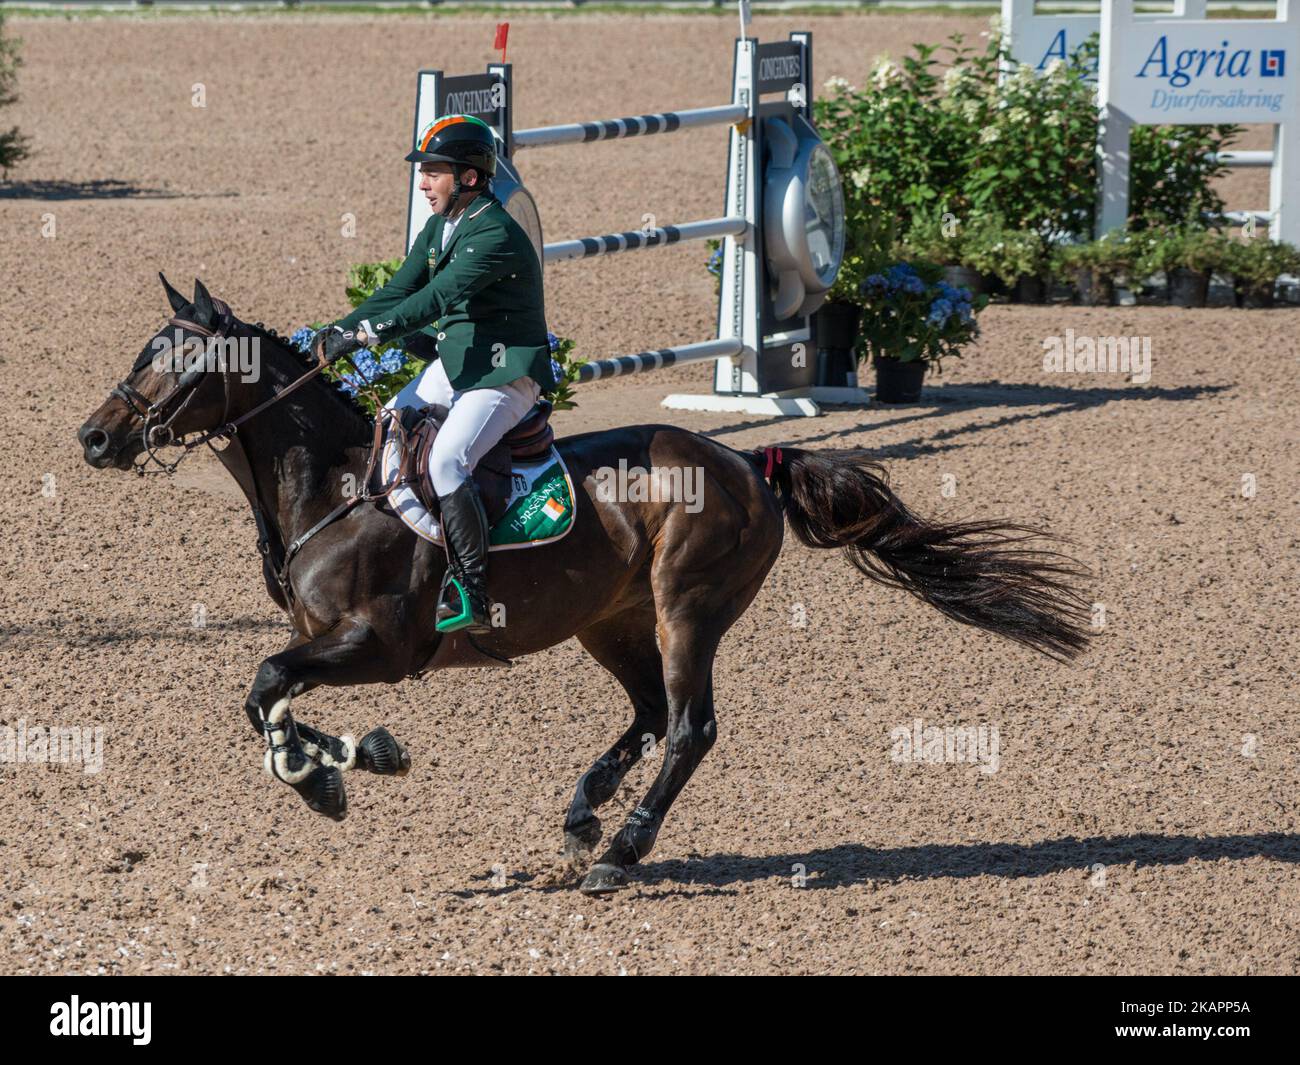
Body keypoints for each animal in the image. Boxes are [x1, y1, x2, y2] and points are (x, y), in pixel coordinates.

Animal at [78, 279, 1097, 894]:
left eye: (176, 360)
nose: (94, 437)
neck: (331, 488)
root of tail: (746, 461)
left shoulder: (380, 645)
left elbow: (263, 683)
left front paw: (336, 771)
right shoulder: (334, 645)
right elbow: (268, 696)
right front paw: (346, 762)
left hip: (688, 610)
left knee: (688, 727)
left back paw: (620, 848)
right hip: (609, 620)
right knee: (647, 713)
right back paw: (583, 812)